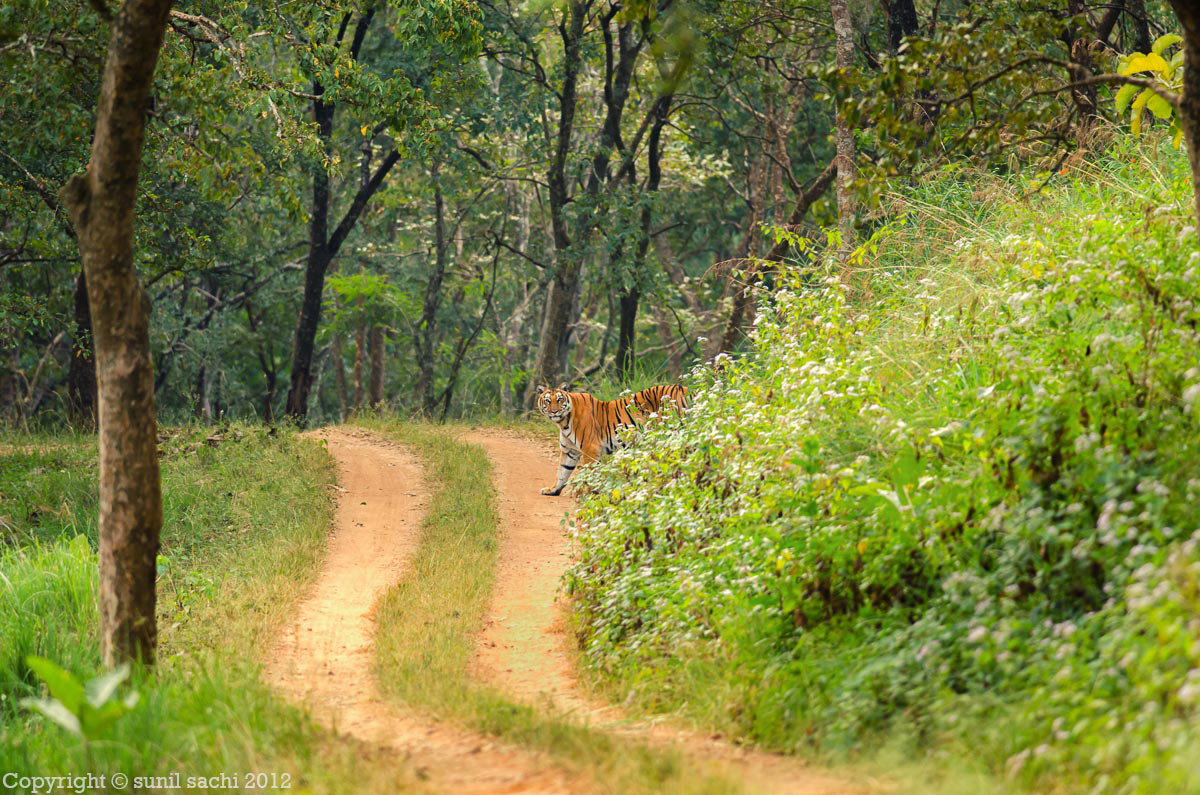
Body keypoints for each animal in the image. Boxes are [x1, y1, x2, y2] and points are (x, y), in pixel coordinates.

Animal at [537, 384, 696, 494]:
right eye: (547, 401)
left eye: (559, 399)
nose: (554, 411)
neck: (563, 422)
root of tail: (683, 388)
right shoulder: (570, 451)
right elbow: (562, 472)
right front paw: (553, 490)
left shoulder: (590, 448)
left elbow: (589, 473)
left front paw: (590, 493)